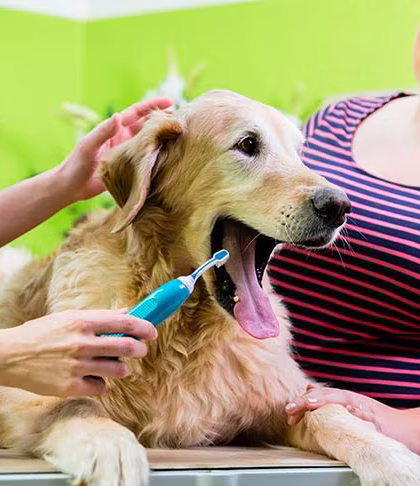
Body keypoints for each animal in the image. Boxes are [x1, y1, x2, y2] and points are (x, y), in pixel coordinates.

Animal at [0, 90, 419, 486]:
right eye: (248, 144)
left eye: (300, 153)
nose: (339, 206)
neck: (187, 327)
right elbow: (72, 403)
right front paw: (109, 448)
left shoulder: (281, 396)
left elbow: (331, 412)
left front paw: (393, 458)